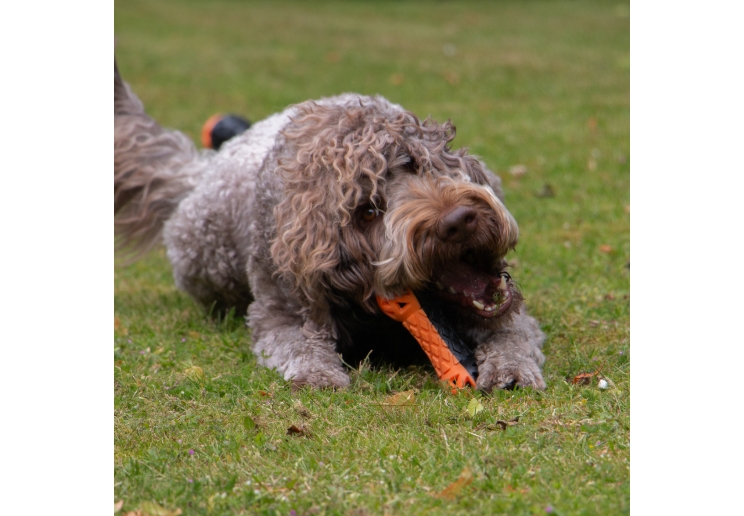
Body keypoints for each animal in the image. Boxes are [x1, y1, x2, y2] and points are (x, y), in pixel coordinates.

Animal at [116, 60, 548, 392]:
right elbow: (300, 345)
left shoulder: (509, 315)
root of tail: (204, 168)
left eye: (414, 163)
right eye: (369, 211)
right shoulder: (282, 312)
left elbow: (512, 333)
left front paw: (510, 369)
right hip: (205, 262)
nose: (458, 222)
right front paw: (318, 375)